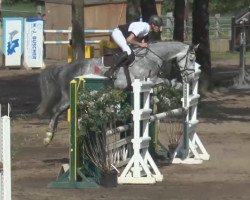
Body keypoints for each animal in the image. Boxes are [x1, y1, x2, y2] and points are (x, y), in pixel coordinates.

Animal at [37, 40, 197, 145]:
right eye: (191, 58)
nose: (190, 77)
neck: (152, 57)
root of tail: (66, 67)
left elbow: (169, 83)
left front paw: (174, 93)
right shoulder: (147, 79)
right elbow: (165, 82)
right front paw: (164, 98)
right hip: (68, 97)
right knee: (56, 110)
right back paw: (48, 137)